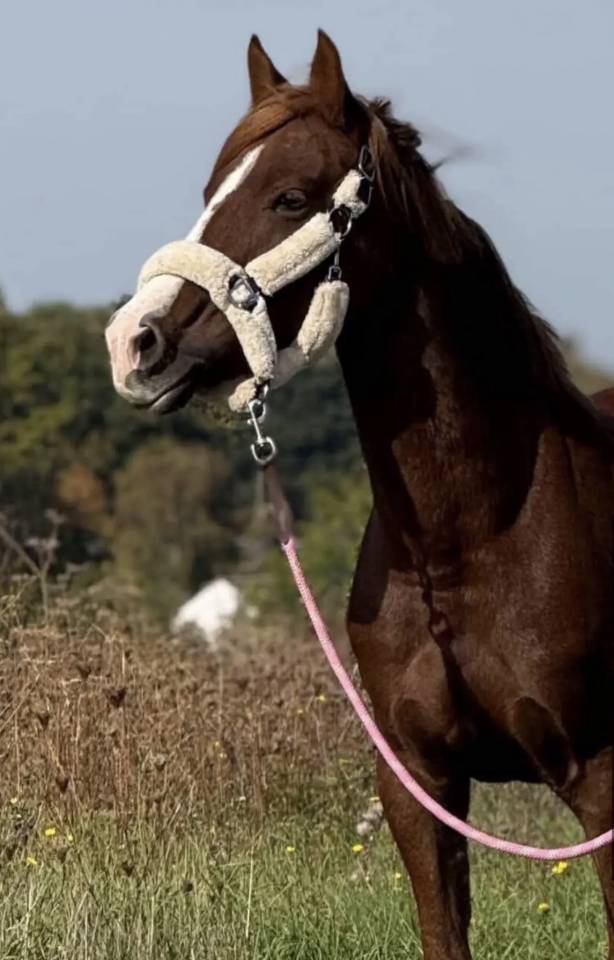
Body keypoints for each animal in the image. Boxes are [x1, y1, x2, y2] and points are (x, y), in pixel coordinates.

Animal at [105, 31, 614, 959]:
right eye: (209, 192)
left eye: (289, 197)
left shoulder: (601, 778)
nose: (135, 342)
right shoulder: (419, 785)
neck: (472, 543)